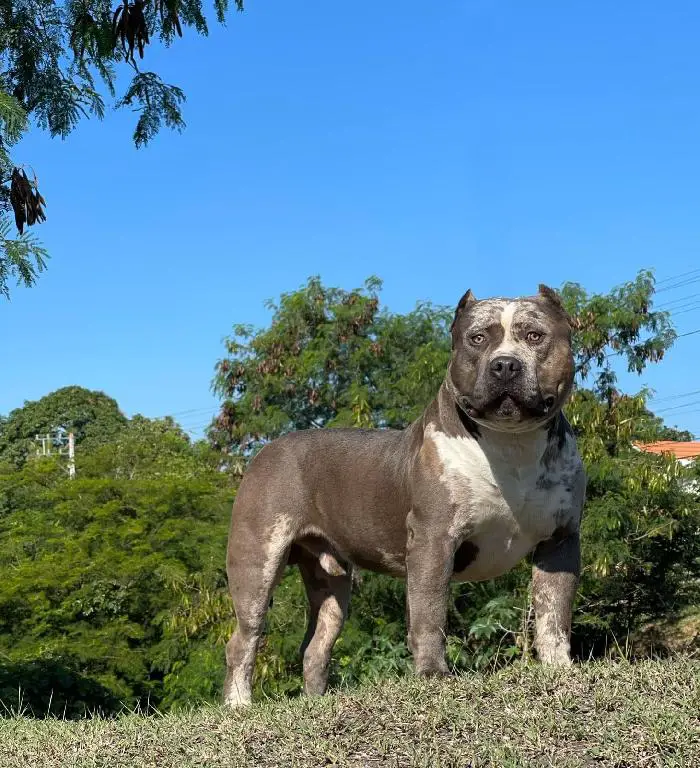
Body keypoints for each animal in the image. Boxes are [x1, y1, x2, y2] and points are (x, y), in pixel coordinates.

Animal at [221, 284, 584, 708]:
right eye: (477, 339)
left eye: (535, 336)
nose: (505, 365)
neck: (512, 446)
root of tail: (264, 451)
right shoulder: (433, 539)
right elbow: (429, 613)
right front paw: (432, 675)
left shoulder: (560, 542)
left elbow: (553, 615)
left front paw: (560, 669)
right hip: (258, 562)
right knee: (244, 639)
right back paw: (239, 705)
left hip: (331, 585)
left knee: (316, 646)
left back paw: (316, 704)